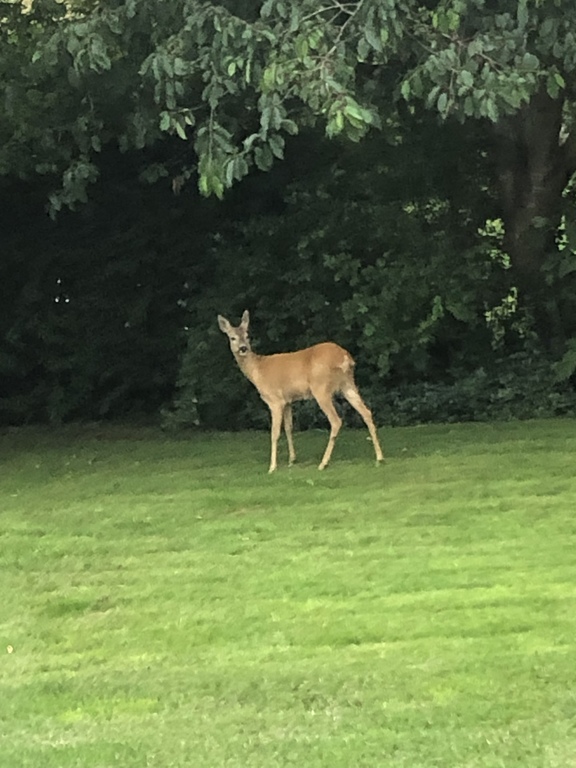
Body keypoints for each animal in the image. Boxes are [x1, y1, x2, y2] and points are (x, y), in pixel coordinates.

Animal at [217, 310, 384, 473]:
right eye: (232, 337)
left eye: (247, 336)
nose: (243, 348)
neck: (257, 371)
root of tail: (345, 358)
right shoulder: (288, 401)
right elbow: (289, 428)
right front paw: (292, 460)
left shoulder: (275, 400)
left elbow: (274, 433)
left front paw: (272, 467)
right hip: (348, 384)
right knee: (366, 412)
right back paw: (380, 458)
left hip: (321, 388)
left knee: (336, 421)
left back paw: (323, 463)